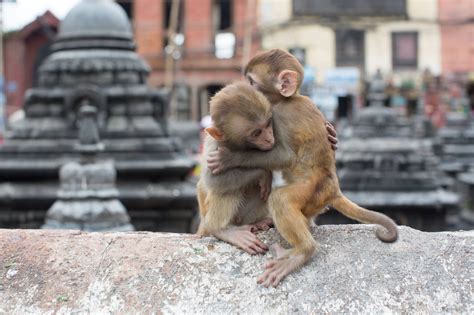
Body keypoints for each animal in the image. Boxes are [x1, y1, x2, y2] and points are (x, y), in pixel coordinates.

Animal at [196, 82, 276, 256]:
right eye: (257, 133)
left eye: (268, 124)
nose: (269, 138)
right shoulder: (215, 147)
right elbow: (212, 180)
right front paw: (262, 173)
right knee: (227, 187)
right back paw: (221, 230)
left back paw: (262, 222)